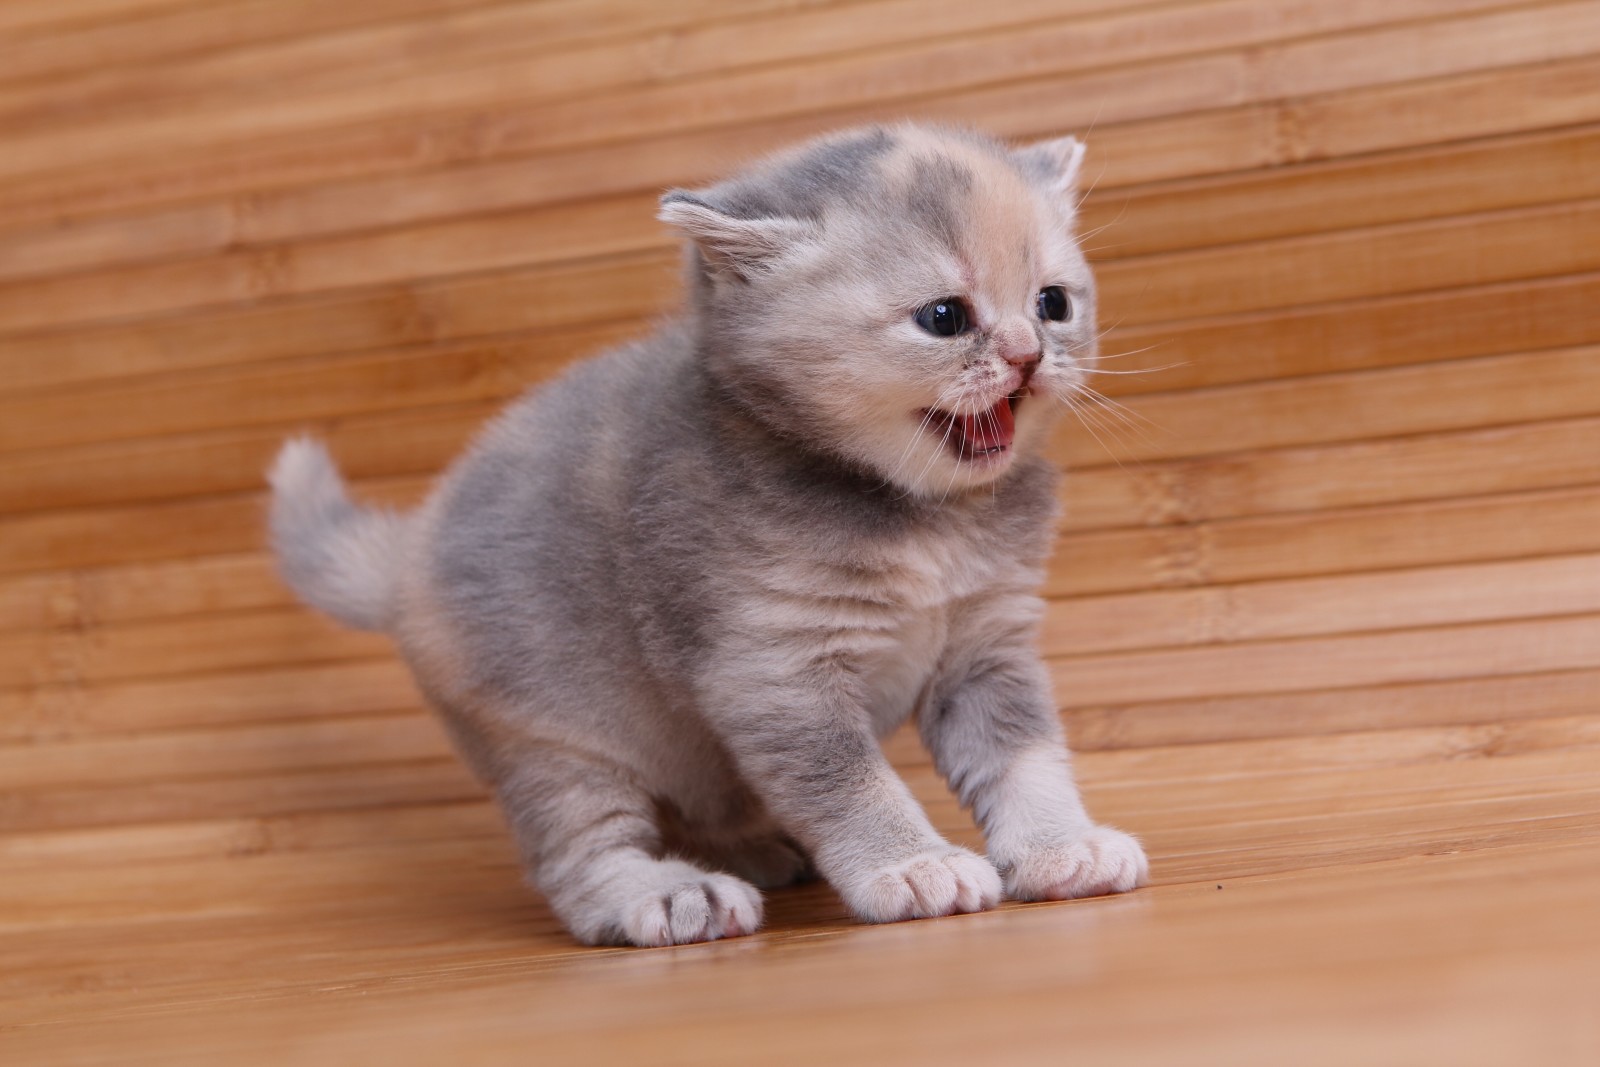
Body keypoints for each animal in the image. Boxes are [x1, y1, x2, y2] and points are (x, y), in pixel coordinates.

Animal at [275, 125, 1152, 953]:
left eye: (1053, 304)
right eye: (945, 318)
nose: (1029, 356)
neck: (925, 519)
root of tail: (407, 555)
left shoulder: (986, 649)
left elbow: (1025, 758)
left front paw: (1061, 846)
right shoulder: (773, 670)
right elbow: (851, 783)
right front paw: (912, 863)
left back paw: (746, 849)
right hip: (552, 740)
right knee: (580, 854)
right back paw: (669, 892)